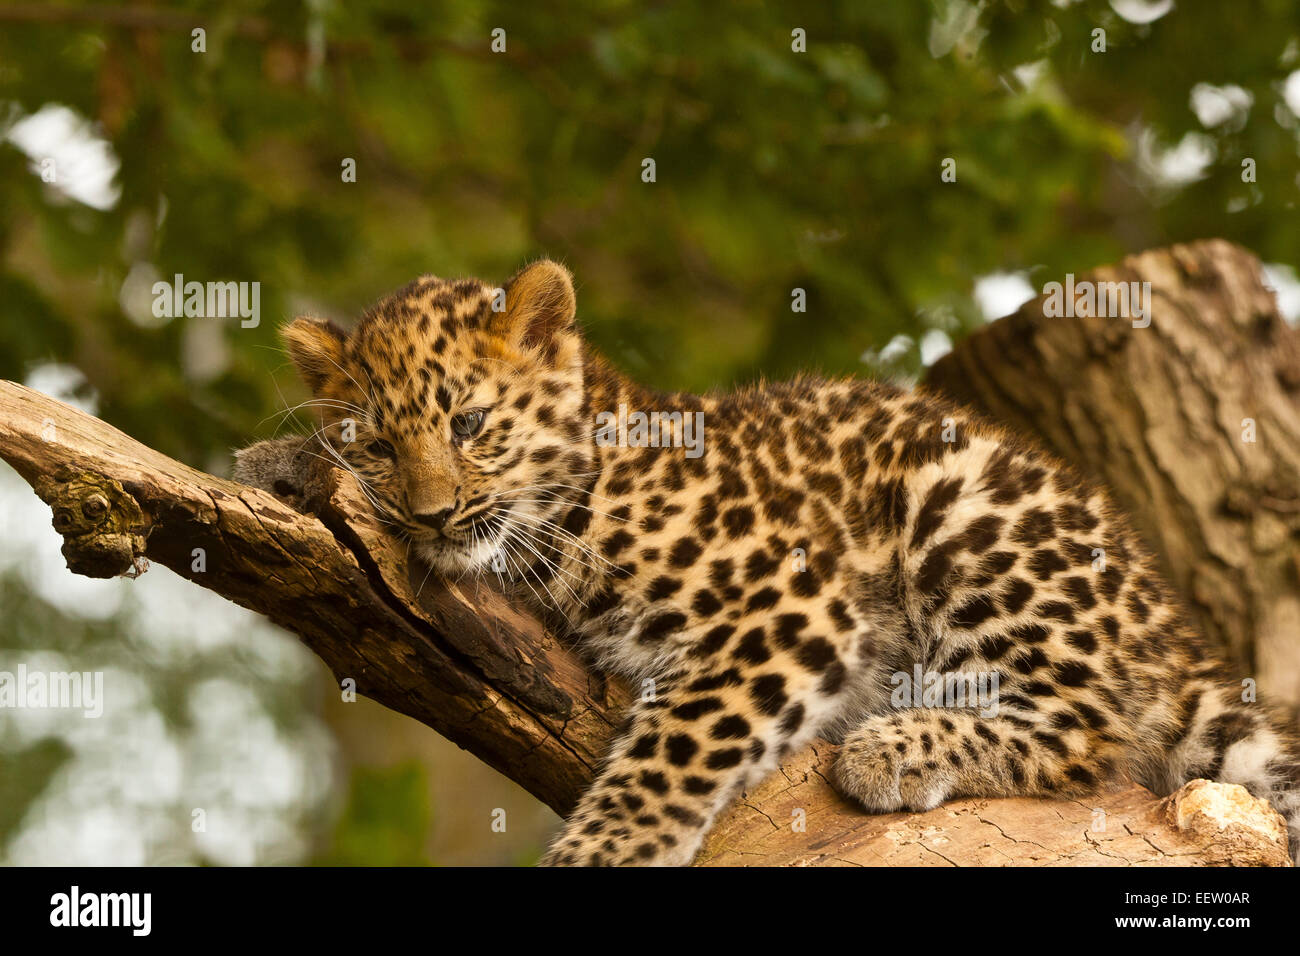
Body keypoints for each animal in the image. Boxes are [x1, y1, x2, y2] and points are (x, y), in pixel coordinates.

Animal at [262, 258, 1300, 866]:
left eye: (471, 424)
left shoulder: (785, 601)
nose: (431, 514)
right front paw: (275, 460)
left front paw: (605, 848)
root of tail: (1164, 624)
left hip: (962, 504)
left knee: (1085, 730)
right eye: (378, 446)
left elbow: (677, 744)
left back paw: (894, 744)